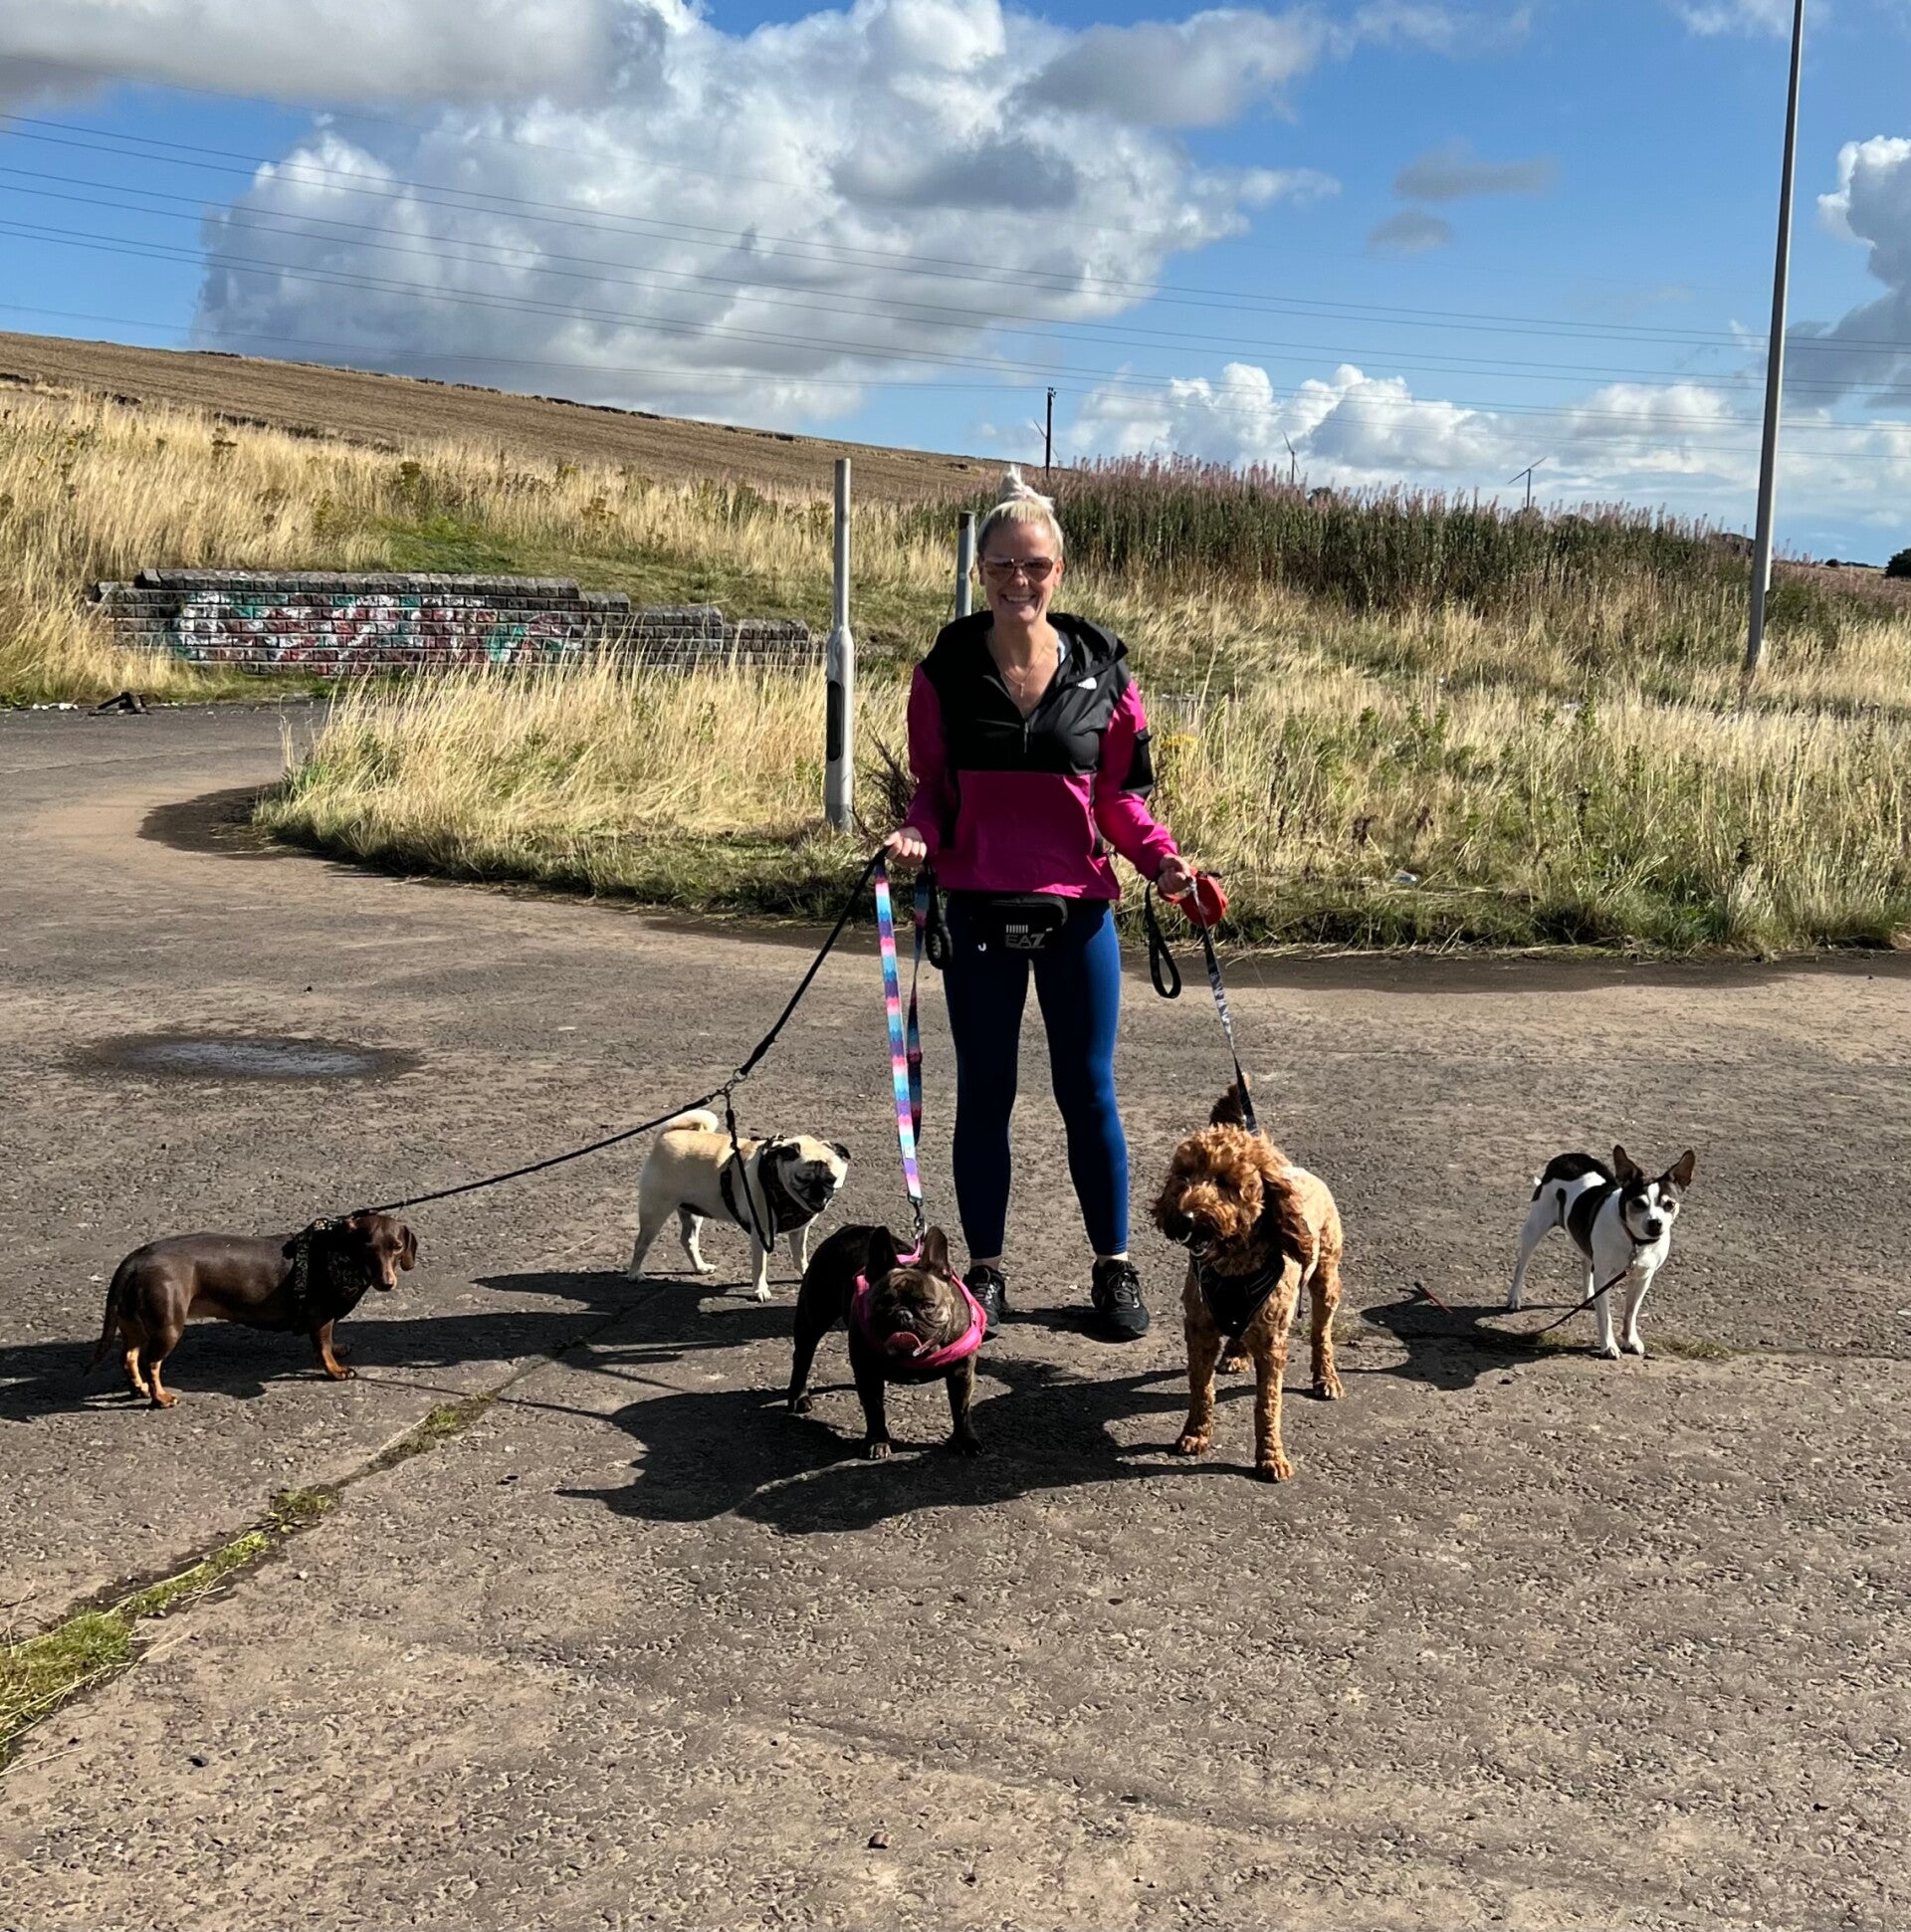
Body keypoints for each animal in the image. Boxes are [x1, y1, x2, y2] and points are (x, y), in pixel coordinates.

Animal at [91, 1211, 417, 1408]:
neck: (338, 1253)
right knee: (151, 1363)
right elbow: (322, 1349)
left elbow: (330, 1343)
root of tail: (135, 1260)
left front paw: (339, 1349)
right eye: (368, 1248)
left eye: (397, 1247)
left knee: (129, 1356)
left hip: (135, 1324)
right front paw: (336, 1370)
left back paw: (139, 1388)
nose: (387, 1283)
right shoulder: (320, 1317)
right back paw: (160, 1397)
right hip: (168, 1326)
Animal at [627, 1109, 850, 1302]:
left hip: (692, 1212)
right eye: (802, 1179)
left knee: (688, 1240)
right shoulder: (762, 1234)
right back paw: (635, 1274)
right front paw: (760, 1290)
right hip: (655, 1212)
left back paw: (700, 1267)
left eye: (831, 1180)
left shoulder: (799, 1232)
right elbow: (760, 1266)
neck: (779, 1180)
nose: (818, 1192)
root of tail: (668, 1135)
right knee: (641, 1244)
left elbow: (800, 1256)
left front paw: (806, 1273)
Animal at [788, 1223, 983, 1460]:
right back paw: (799, 1398)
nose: (902, 1314)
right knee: (803, 1356)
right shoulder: (868, 1372)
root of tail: (850, 1228)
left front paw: (965, 1440)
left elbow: (961, 1408)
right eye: (882, 1304)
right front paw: (877, 1441)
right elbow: (874, 1409)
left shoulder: (961, 1372)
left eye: (927, 1305)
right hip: (814, 1316)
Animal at [1152, 1084, 1344, 1482]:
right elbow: (1200, 1388)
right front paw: (1195, 1434)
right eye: (1185, 1175)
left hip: (1326, 1278)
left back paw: (1326, 1377)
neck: (1233, 1269)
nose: (1185, 1217)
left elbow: (1266, 1404)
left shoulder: (1272, 1344)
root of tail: (1286, 1166)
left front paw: (1271, 1457)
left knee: (1321, 1333)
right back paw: (1236, 1353)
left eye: (1226, 1182)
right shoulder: (1199, 1328)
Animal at [1508, 1147, 1696, 1358]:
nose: (1655, 1222)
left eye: (1669, 1204)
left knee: (1586, 1263)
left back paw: (1589, 1298)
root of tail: (1564, 1157)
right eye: (1639, 1203)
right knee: (1522, 1264)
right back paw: (1514, 1297)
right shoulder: (1604, 1277)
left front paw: (1630, 1340)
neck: (1635, 1241)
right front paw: (1608, 1346)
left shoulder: (1642, 1277)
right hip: (1535, 1228)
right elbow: (1606, 1315)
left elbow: (1631, 1312)